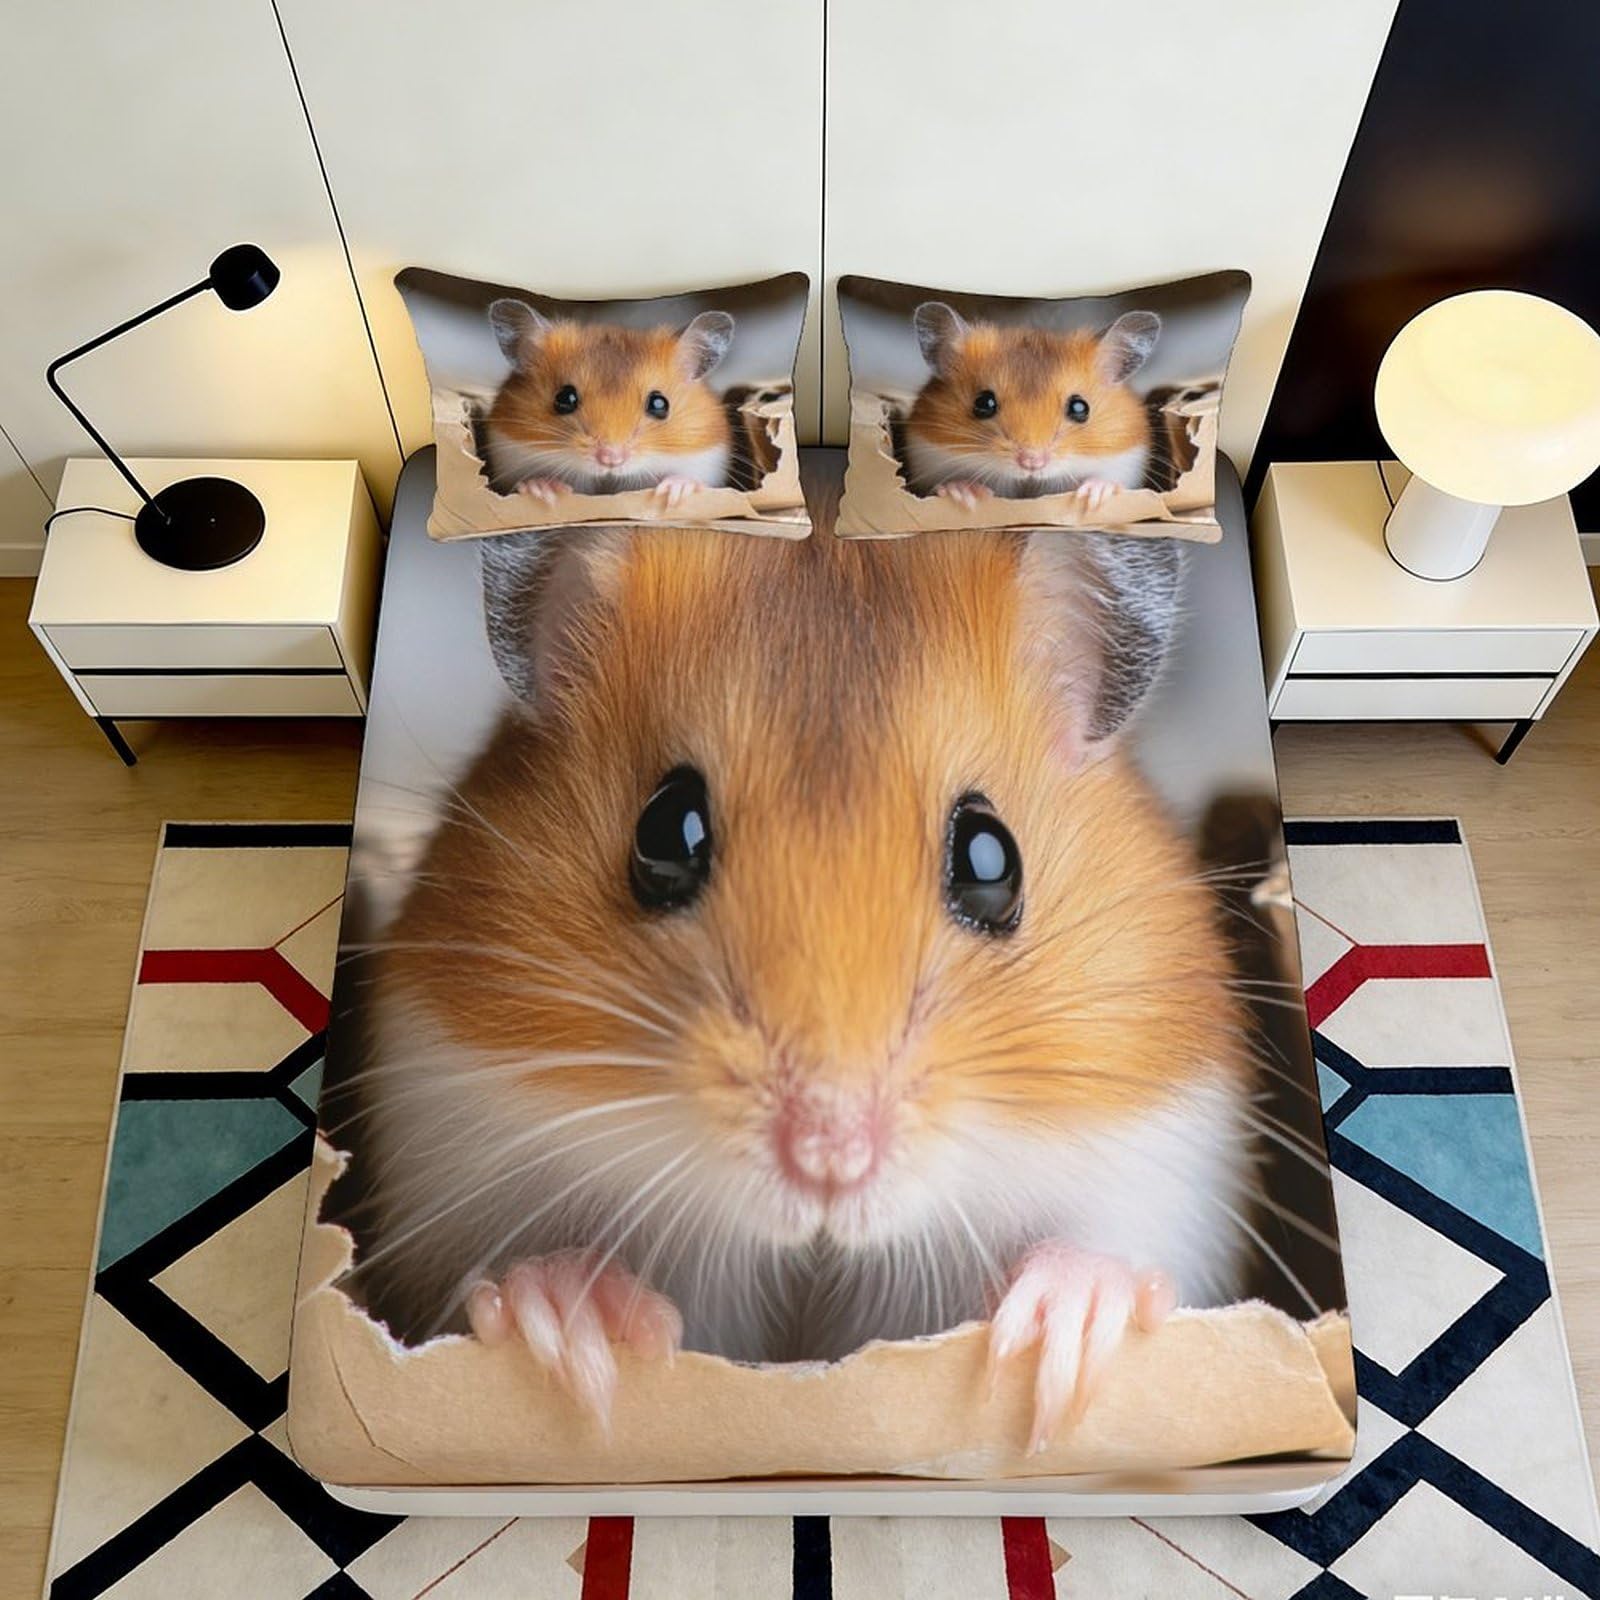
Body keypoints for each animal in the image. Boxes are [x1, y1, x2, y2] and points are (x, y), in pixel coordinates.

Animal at [351, 471, 1257, 1450]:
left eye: (993, 859)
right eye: (665, 833)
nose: (830, 1158)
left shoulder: (1160, 1155)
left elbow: (1104, 1250)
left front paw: (1060, 1338)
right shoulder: (446, 1153)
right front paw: (577, 1330)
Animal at [483, 302, 736, 509]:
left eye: (659, 403)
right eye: (565, 398)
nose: (611, 459)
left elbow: (690, 478)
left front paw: (674, 492)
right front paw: (544, 490)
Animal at [904, 302, 1162, 513]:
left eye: (1080, 408)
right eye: (983, 403)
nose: (1032, 462)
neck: (1028, 482)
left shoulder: (1126, 460)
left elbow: (1108, 479)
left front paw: (1093, 496)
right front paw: (966, 495)